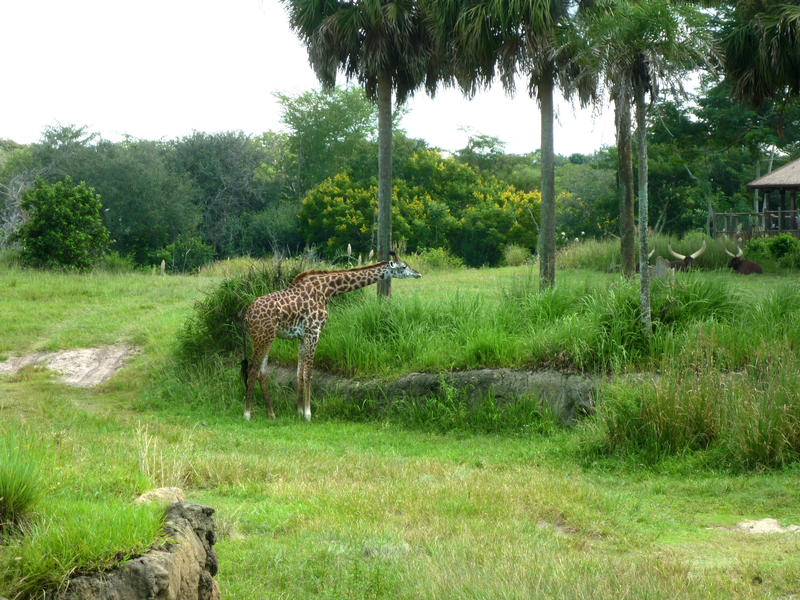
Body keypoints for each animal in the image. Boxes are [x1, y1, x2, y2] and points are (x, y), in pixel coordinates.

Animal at [241, 253, 422, 422]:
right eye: (404, 266)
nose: (418, 273)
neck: (327, 290)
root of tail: (247, 316)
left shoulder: (302, 336)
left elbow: (299, 373)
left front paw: (299, 411)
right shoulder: (314, 331)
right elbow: (308, 373)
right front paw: (308, 414)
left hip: (267, 338)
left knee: (262, 372)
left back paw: (271, 414)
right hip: (263, 336)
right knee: (253, 369)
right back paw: (247, 414)